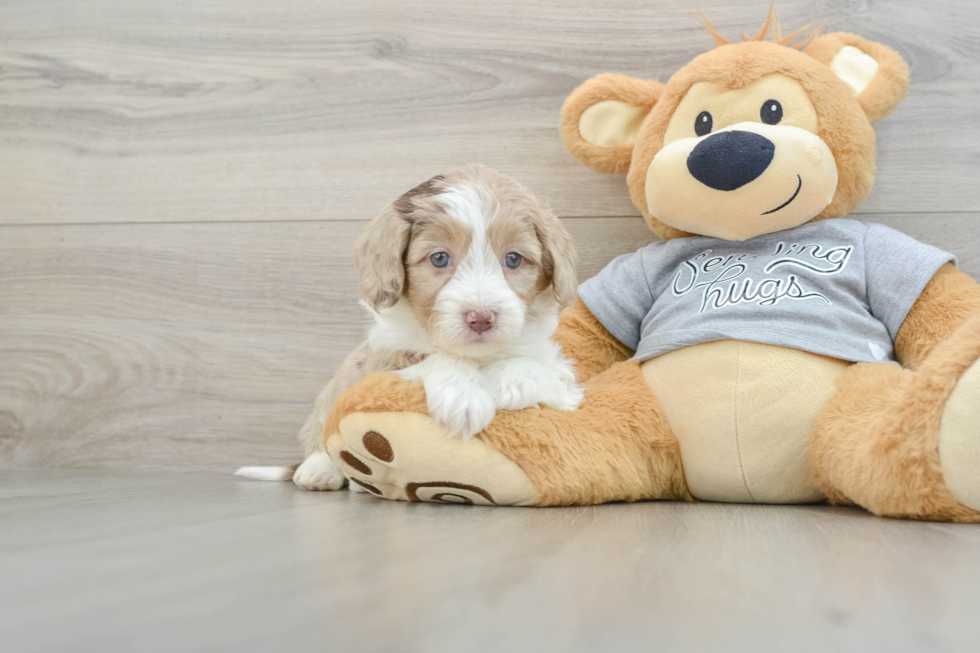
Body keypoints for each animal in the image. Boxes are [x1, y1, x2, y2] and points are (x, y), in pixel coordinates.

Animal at [234, 164, 580, 488]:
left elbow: (538, 368)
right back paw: (318, 469)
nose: (481, 317)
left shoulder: (564, 379)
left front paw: (510, 381)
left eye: (513, 259)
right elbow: (433, 361)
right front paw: (463, 396)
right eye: (439, 258)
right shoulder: (379, 367)